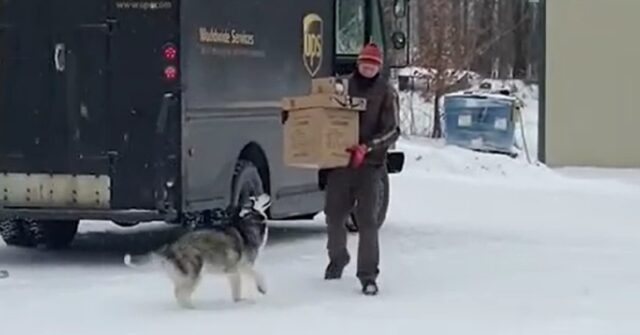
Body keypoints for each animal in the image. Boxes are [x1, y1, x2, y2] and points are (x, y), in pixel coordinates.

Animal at [124, 194, 270, 310]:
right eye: (255, 198)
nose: (267, 194)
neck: (249, 220)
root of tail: (171, 247)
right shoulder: (243, 265)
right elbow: (258, 274)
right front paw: (262, 288)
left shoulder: (233, 272)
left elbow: (236, 290)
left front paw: (239, 302)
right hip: (194, 273)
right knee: (180, 293)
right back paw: (192, 309)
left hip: (183, 276)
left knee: (177, 292)